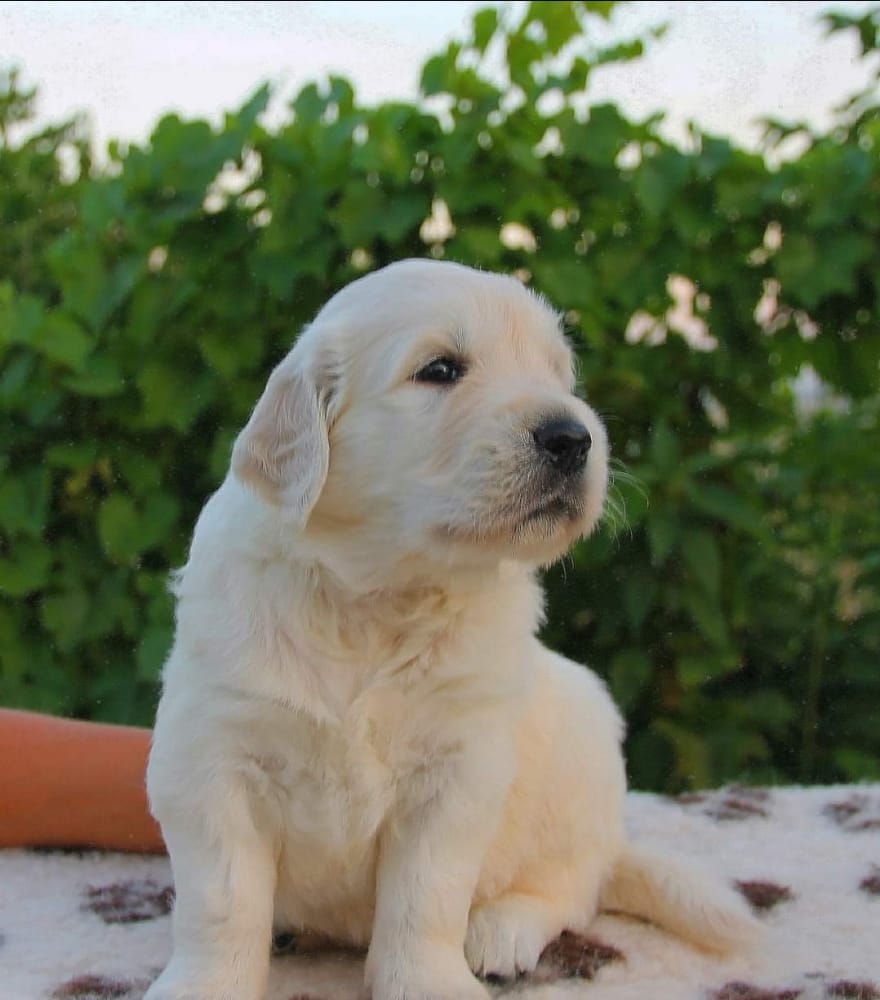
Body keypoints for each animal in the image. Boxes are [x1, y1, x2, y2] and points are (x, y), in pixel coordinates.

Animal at [145, 259, 757, 1000]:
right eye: (440, 369)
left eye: (559, 375)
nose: (573, 437)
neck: (376, 596)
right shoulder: (211, 758)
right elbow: (221, 901)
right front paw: (204, 983)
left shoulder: (458, 770)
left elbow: (425, 895)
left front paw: (427, 980)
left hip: (581, 748)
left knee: (571, 888)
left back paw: (501, 930)